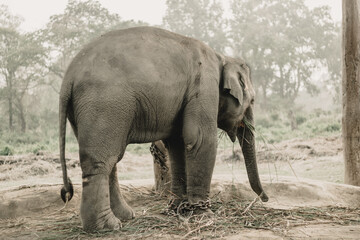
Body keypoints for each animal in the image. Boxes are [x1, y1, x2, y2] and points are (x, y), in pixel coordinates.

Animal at [58, 26, 268, 232]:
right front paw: (204, 214)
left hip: (86, 110)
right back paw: (107, 227)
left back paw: (125, 216)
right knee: (101, 161)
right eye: (253, 100)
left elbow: (177, 143)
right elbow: (200, 139)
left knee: (111, 160)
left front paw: (179, 208)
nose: (265, 198)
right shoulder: (204, 85)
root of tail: (69, 75)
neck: (222, 57)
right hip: (105, 103)